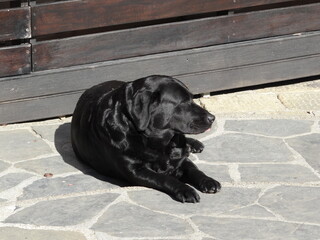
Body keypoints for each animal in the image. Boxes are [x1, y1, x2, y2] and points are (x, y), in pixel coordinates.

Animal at [70, 75, 220, 202]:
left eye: (192, 98)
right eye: (183, 102)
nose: (212, 118)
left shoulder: (180, 159)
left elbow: (194, 169)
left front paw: (208, 181)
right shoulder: (136, 171)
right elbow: (165, 178)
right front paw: (185, 189)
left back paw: (194, 144)